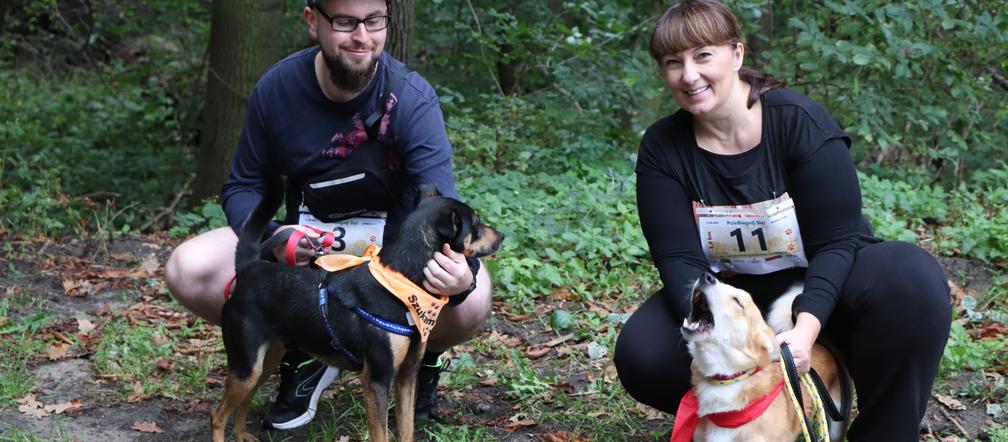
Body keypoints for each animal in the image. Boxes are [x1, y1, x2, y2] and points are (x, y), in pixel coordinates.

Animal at [211, 173, 504, 442]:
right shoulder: (376, 379)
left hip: (264, 361)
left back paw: (242, 434)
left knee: (244, 402)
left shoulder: (407, 376)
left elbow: (407, 428)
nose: (501, 235)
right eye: (476, 224)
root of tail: (249, 268)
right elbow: (381, 434)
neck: (403, 284)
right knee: (218, 415)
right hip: (246, 364)